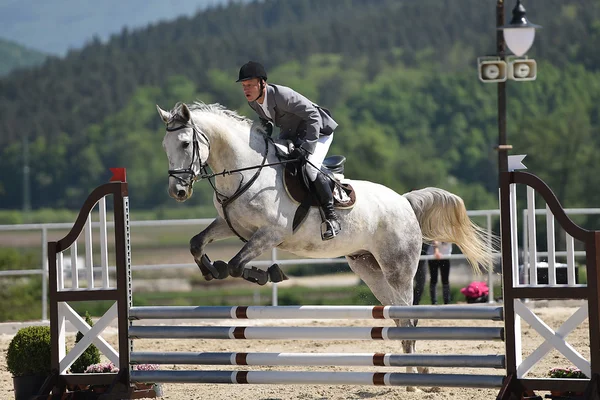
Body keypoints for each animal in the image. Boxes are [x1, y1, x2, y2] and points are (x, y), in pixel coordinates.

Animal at [157, 103, 494, 388]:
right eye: (164, 147)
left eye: (185, 144)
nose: (178, 191)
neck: (245, 171)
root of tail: (404, 201)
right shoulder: (230, 224)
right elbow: (197, 243)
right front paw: (210, 269)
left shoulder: (271, 233)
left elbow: (237, 264)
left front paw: (268, 274)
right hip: (369, 268)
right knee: (397, 316)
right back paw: (408, 373)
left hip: (398, 267)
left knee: (408, 316)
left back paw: (414, 376)